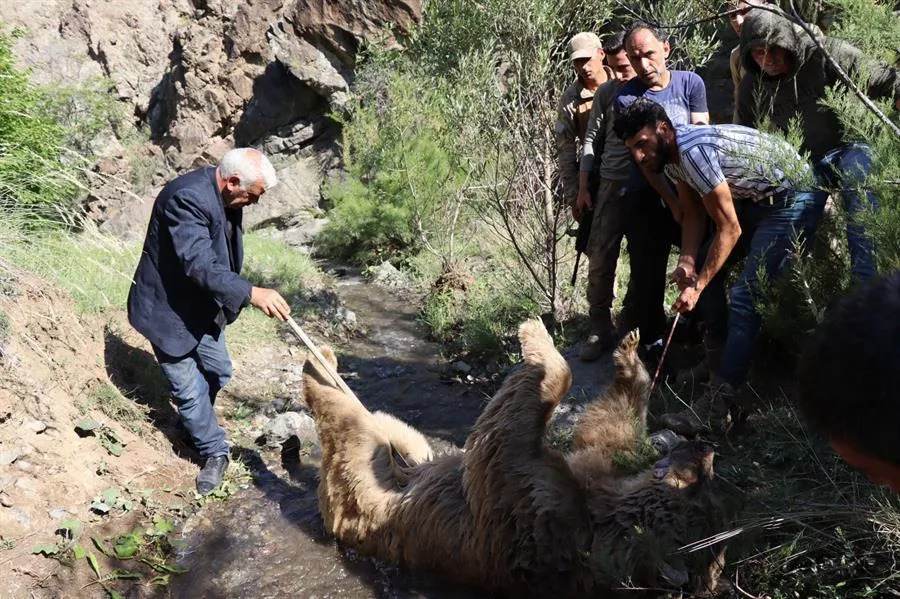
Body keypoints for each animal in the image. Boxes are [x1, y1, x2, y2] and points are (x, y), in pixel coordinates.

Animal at [300, 318, 724, 596]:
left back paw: (319, 363)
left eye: (697, 482)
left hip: (363, 498)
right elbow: (605, 430)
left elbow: (510, 433)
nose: (707, 448)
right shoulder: (590, 474)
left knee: (352, 432)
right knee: (400, 435)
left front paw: (536, 337)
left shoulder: (534, 512)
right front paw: (631, 355)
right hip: (408, 461)